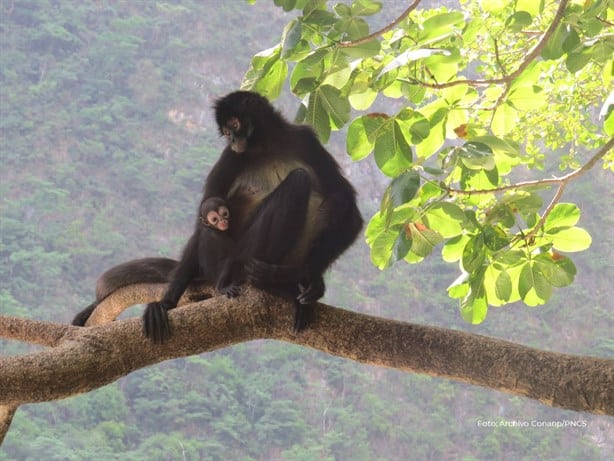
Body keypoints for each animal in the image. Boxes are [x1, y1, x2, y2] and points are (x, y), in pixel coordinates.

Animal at [73, 90, 360, 342]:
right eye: (226, 132)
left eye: (234, 124)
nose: (231, 138)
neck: (266, 147)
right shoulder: (231, 156)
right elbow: (201, 222)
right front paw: (165, 303)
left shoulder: (304, 139)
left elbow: (349, 207)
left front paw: (312, 280)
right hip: (239, 251)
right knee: (298, 182)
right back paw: (268, 283)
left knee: (325, 195)